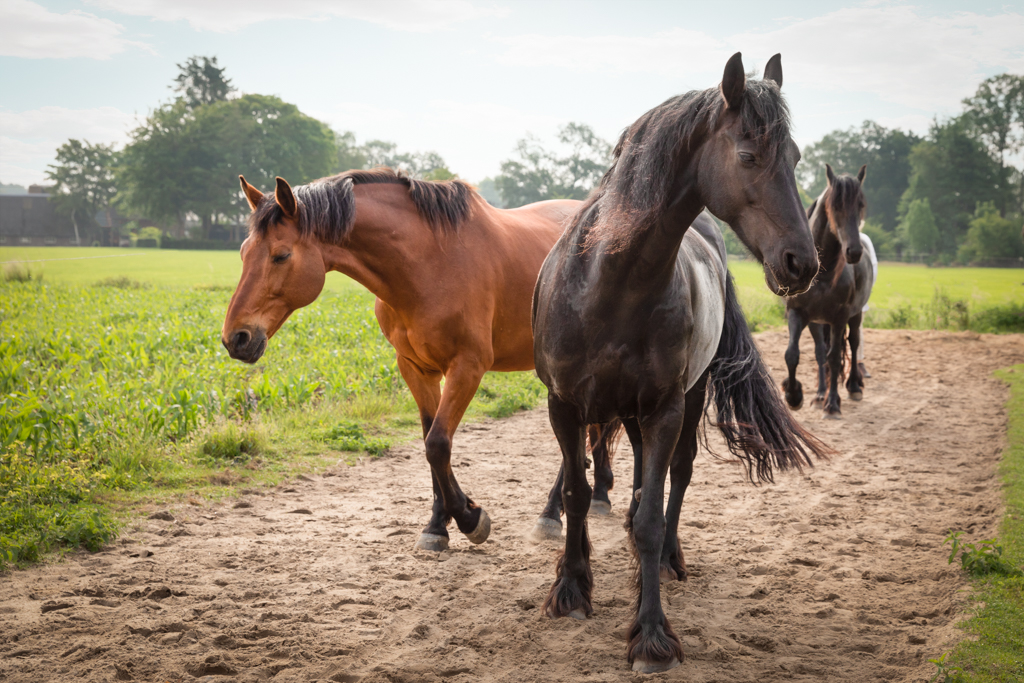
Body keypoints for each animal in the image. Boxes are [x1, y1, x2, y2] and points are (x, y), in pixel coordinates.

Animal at [221, 168, 615, 552]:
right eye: (242, 252)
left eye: (281, 255)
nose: (236, 338)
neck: (429, 263)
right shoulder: (415, 368)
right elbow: (430, 443)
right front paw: (438, 526)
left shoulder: (467, 367)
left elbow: (438, 444)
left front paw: (470, 519)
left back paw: (554, 514)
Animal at [531, 52, 831, 673]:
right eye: (749, 156)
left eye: (794, 157)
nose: (803, 262)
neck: (607, 283)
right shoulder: (563, 405)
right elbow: (575, 493)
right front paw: (570, 589)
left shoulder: (667, 407)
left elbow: (652, 513)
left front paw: (650, 634)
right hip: (630, 413)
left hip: (684, 404)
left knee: (677, 474)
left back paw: (668, 559)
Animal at [781, 164, 875, 418]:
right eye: (835, 206)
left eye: (860, 205)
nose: (854, 251)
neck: (822, 274)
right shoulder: (797, 314)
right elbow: (793, 354)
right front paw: (794, 395)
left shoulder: (839, 317)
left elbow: (834, 358)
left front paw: (833, 405)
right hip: (817, 321)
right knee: (820, 351)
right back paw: (820, 393)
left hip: (855, 314)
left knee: (853, 342)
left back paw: (853, 387)